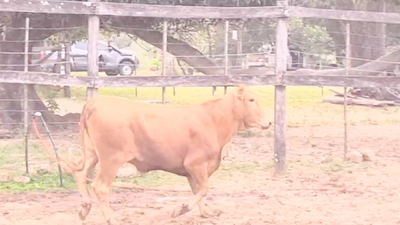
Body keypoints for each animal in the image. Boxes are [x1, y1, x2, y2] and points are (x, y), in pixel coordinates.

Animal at [67, 85, 270, 224]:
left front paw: (206, 212)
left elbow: (199, 190)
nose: (268, 122)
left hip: (92, 153)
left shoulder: (193, 170)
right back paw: (111, 218)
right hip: (111, 158)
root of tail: (97, 101)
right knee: (100, 186)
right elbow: (204, 188)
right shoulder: (195, 163)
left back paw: (84, 208)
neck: (213, 120)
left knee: (80, 173)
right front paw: (181, 208)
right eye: (251, 100)